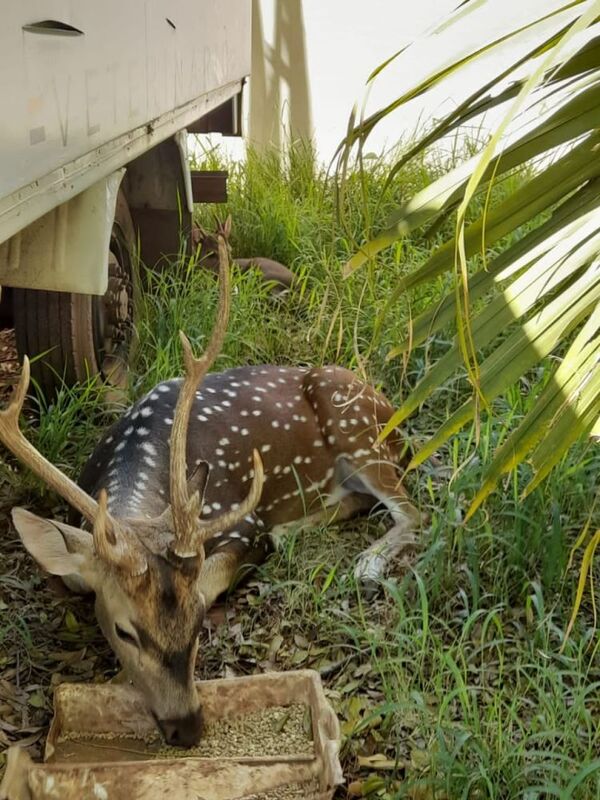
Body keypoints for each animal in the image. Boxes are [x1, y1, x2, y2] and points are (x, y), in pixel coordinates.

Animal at [0, 227, 422, 752]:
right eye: (124, 630)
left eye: (201, 621)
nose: (187, 728)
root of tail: (392, 410)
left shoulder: (243, 521)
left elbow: (214, 572)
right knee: (360, 500)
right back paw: (298, 530)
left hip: (357, 428)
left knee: (414, 512)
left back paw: (364, 563)